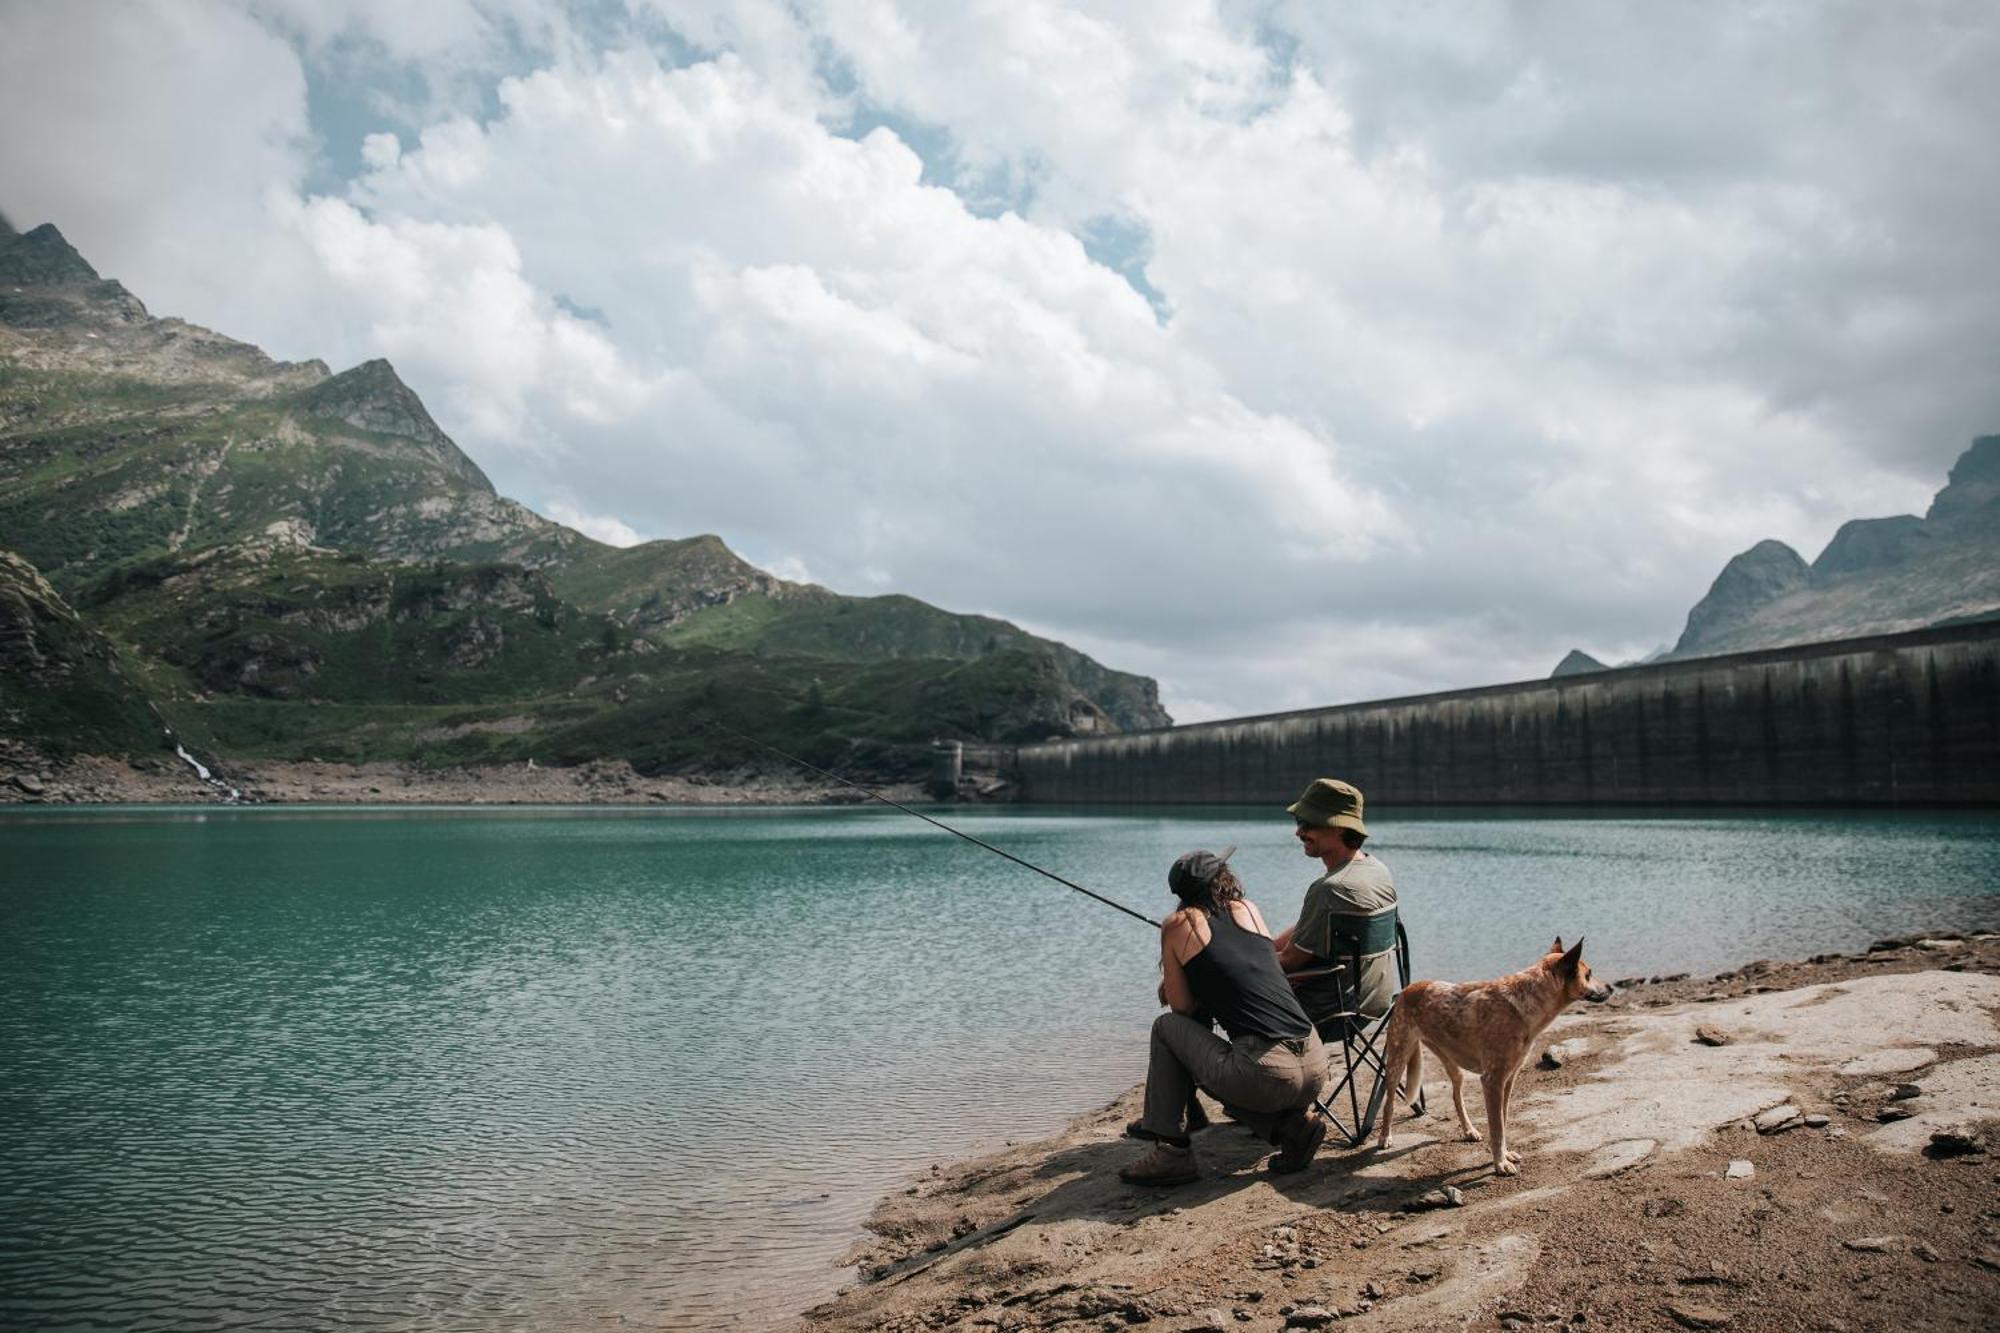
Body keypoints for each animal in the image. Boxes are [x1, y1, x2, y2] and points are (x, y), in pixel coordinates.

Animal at [1376, 932, 1608, 1176]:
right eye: (1588, 974)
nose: (1611, 988)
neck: (1524, 1004)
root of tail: (1407, 989)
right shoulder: (1492, 1080)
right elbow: (1496, 1128)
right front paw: (1500, 1163)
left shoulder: (1508, 1079)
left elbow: (1503, 1122)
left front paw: (1505, 1155)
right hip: (1397, 1058)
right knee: (1389, 1101)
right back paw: (1385, 1137)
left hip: (1452, 1064)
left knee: (1456, 1096)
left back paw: (1469, 1130)